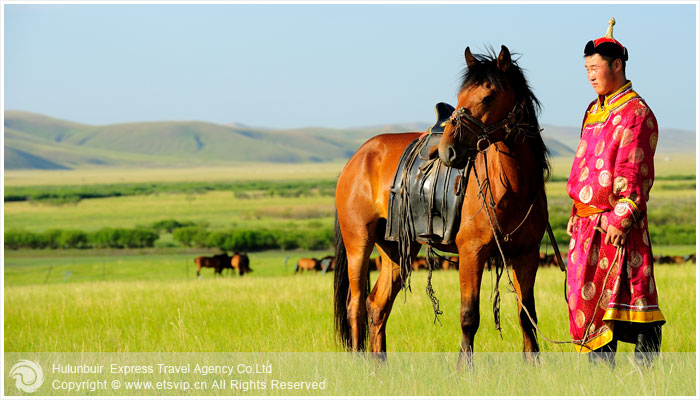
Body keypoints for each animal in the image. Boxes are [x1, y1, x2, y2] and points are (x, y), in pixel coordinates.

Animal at [334, 45, 552, 368]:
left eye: (488, 96)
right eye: (460, 97)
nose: (448, 151)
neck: (513, 187)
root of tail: (358, 157)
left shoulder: (527, 255)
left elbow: (527, 314)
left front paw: (534, 366)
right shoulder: (472, 253)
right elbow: (469, 316)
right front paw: (464, 368)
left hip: (396, 250)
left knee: (377, 305)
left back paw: (379, 367)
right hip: (358, 244)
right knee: (356, 304)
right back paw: (361, 365)